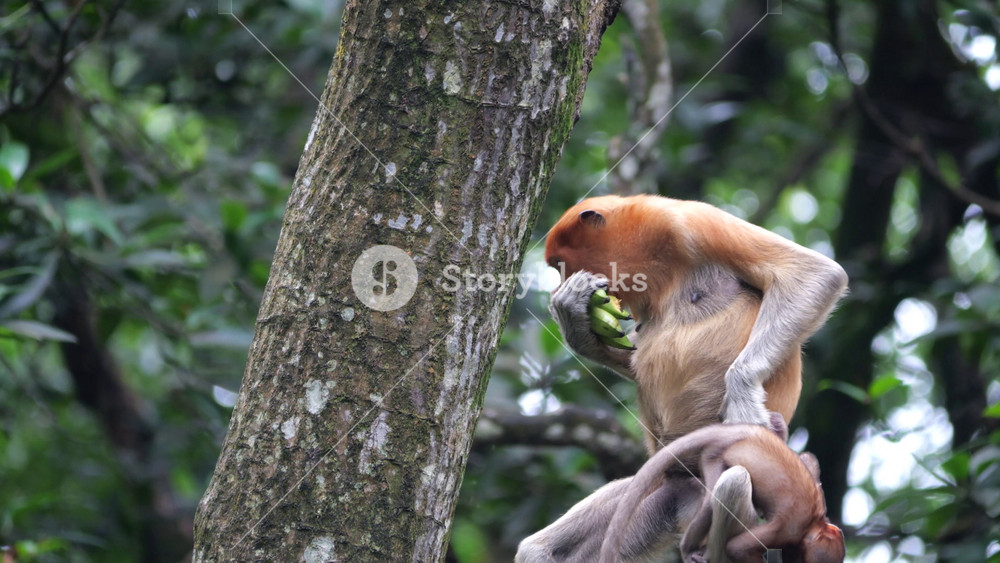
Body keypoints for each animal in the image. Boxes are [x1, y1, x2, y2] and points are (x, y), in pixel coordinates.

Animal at [544, 194, 848, 450]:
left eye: (560, 264)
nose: (557, 286)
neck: (648, 248)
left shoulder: (692, 222)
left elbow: (815, 273)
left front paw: (742, 397)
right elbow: (634, 353)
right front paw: (571, 315)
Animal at [598, 422, 845, 563]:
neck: (815, 522)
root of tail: (733, 432)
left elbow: (809, 459)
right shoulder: (787, 529)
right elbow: (737, 548)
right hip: (713, 455)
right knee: (710, 504)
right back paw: (687, 549)